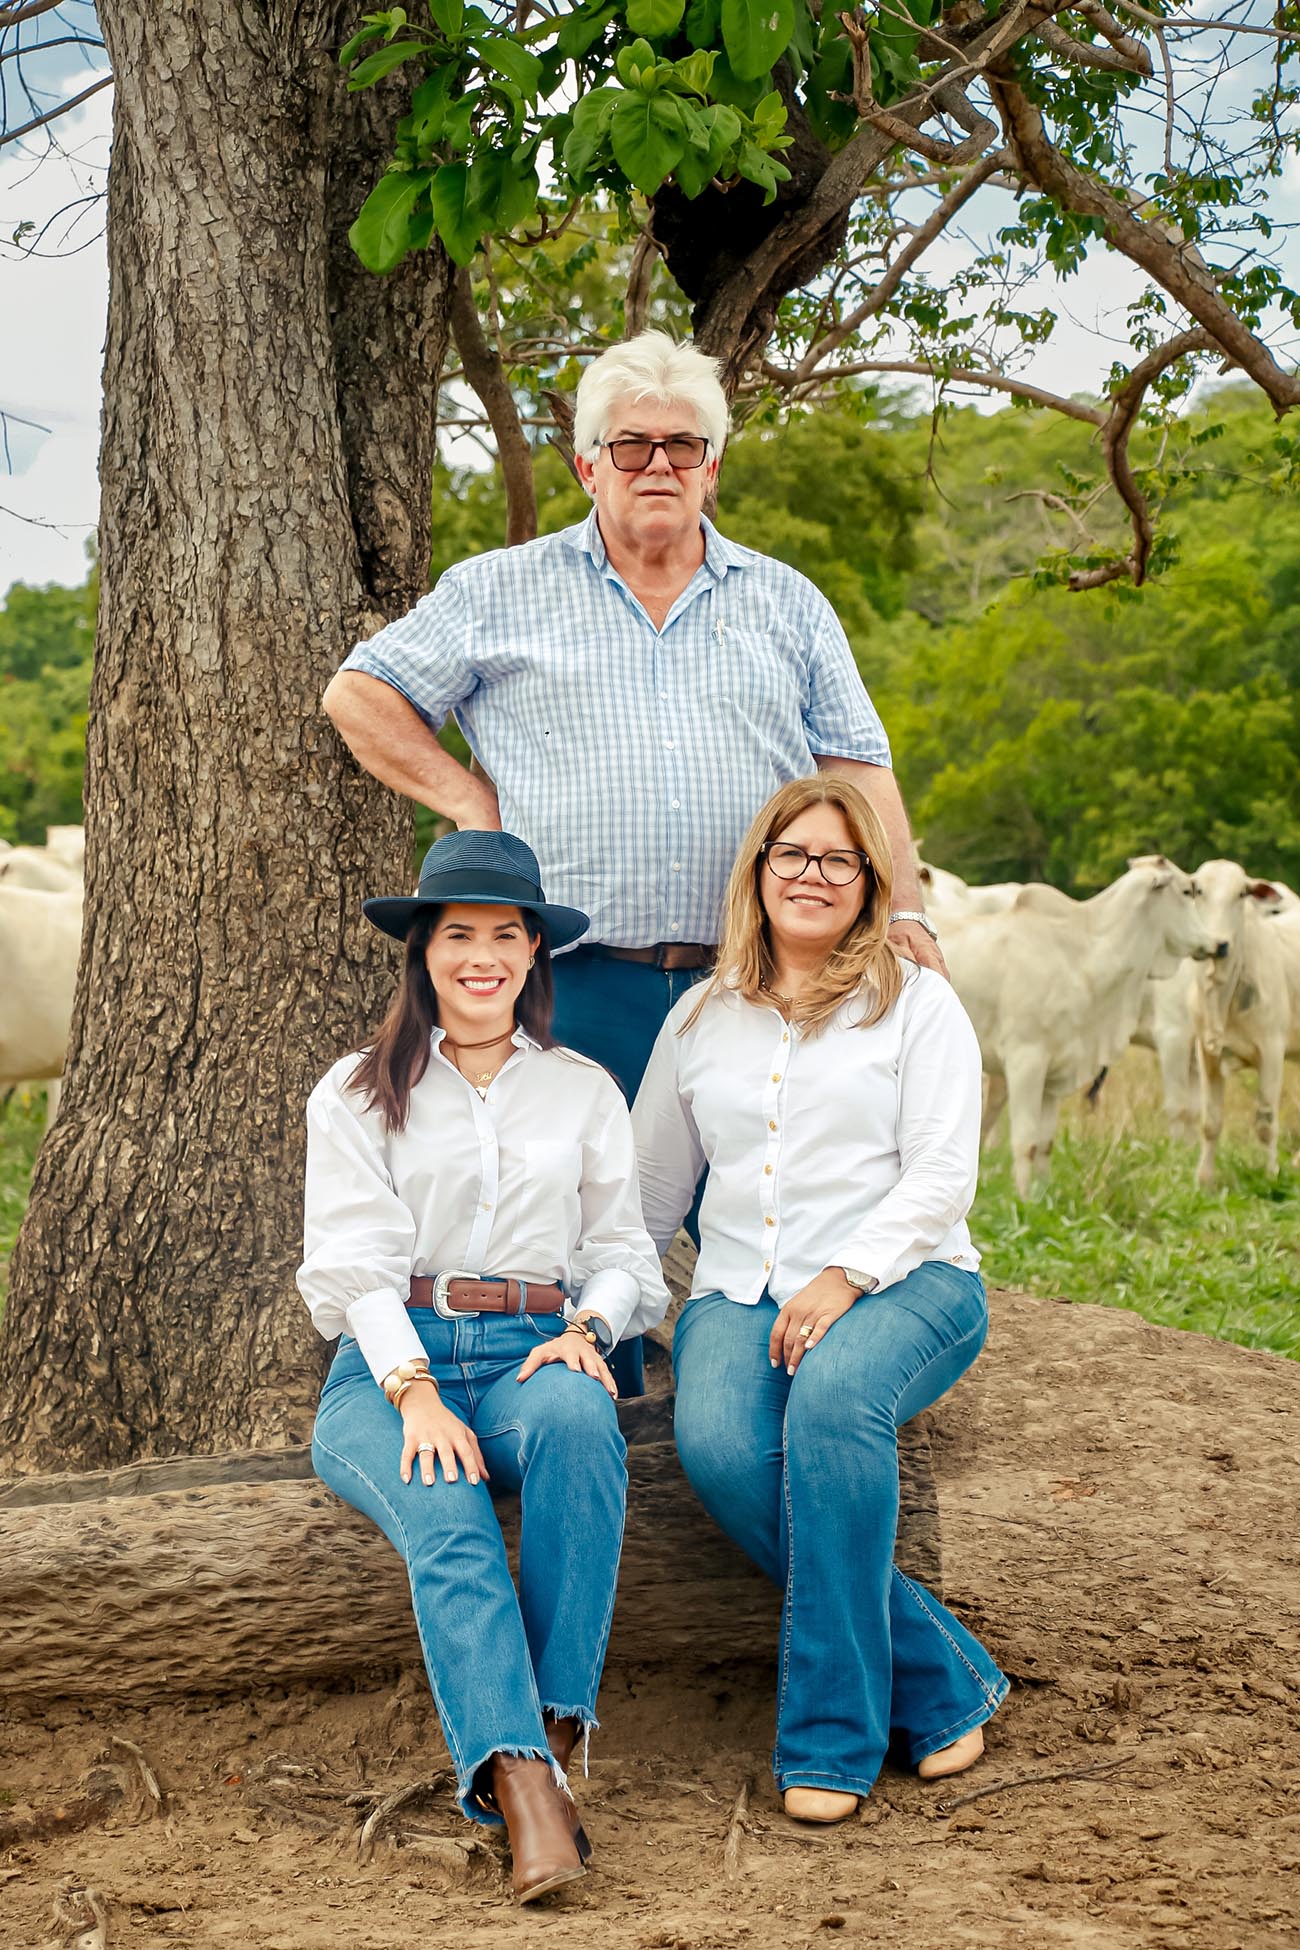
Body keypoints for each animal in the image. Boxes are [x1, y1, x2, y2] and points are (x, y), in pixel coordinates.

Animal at [939, 858, 1223, 1193]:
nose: (1219, 944)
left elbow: (1044, 1143)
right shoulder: (1025, 1061)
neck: (1081, 957)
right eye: (1187, 891)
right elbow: (1024, 1143)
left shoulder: (1055, 1071)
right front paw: (1021, 1197)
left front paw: (1041, 1194)